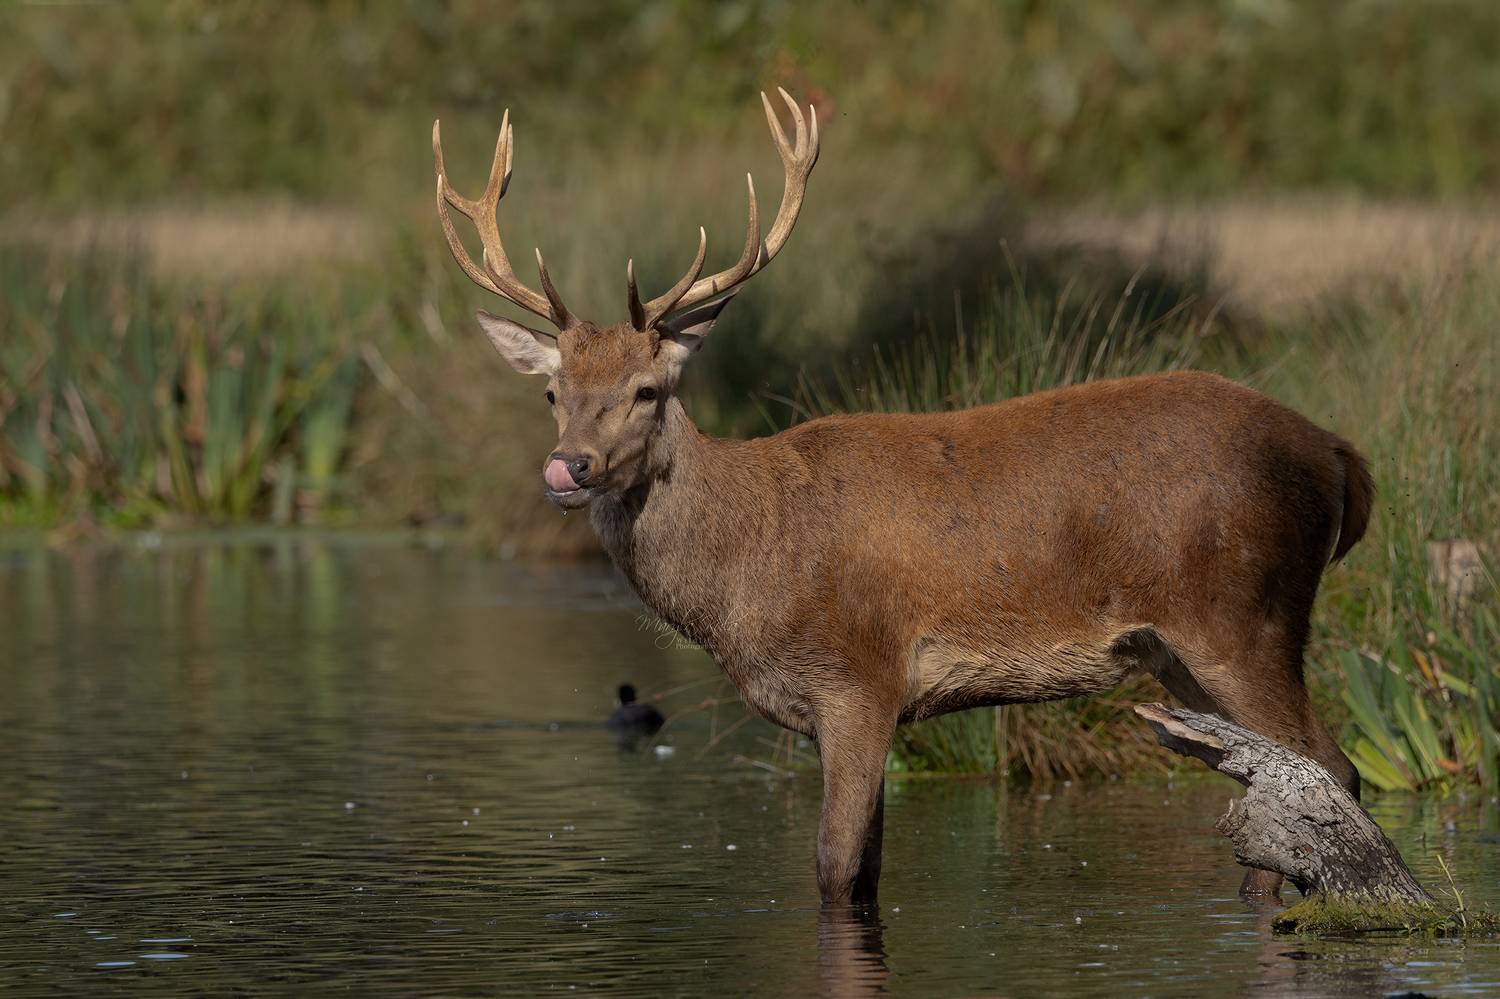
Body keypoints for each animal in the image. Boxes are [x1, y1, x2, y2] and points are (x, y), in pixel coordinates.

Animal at [431, 89, 1374, 907]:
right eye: (553, 392)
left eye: (646, 389)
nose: (569, 467)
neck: (747, 567)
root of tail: (1339, 454)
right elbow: (867, 873)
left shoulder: (859, 675)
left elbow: (833, 866)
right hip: (1181, 650)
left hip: (1246, 615)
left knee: (1329, 767)